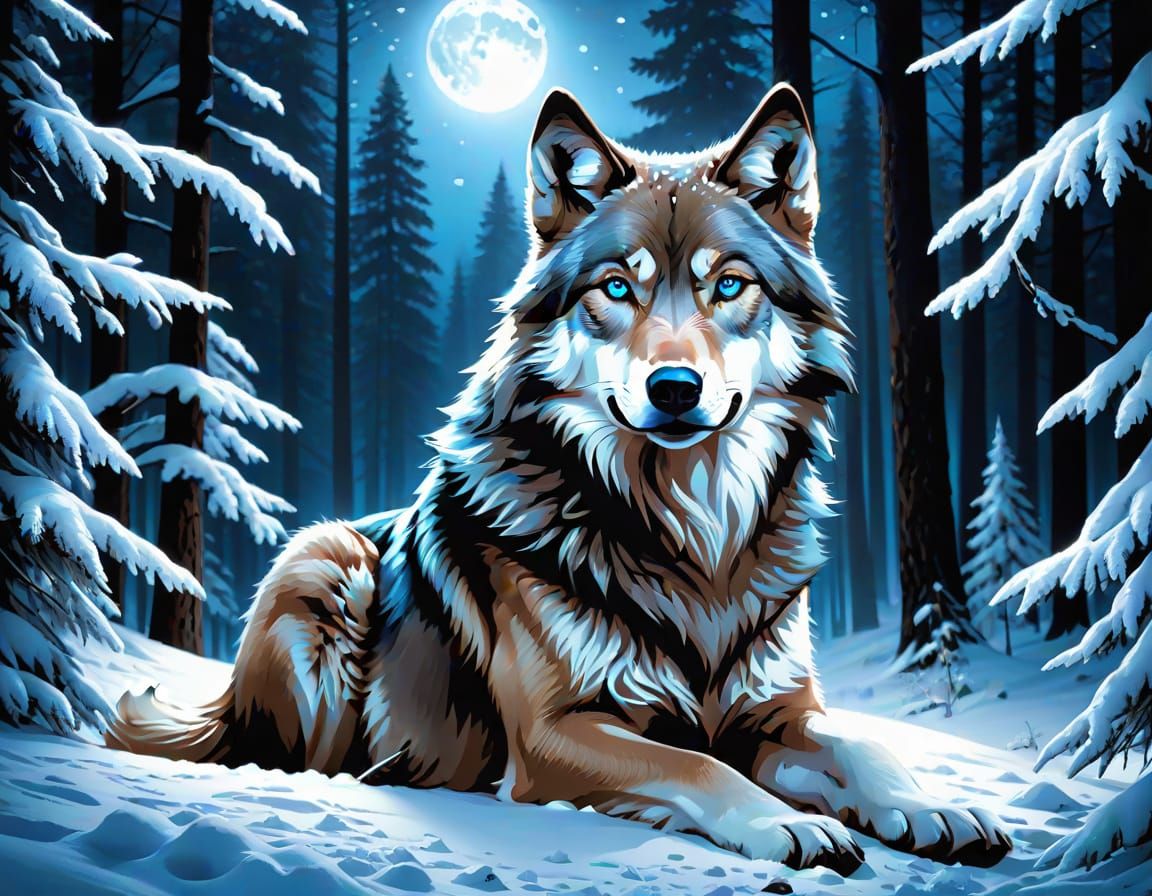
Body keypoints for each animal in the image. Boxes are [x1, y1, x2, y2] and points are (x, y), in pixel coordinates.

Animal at [108, 84, 1011, 873]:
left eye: (729, 284)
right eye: (616, 287)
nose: (674, 389)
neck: (696, 537)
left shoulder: (776, 712)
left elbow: (865, 743)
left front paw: (934, 807)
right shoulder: (555, 733)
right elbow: (698, 766)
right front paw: (786, 824)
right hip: (320, 560)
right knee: (297, 755)